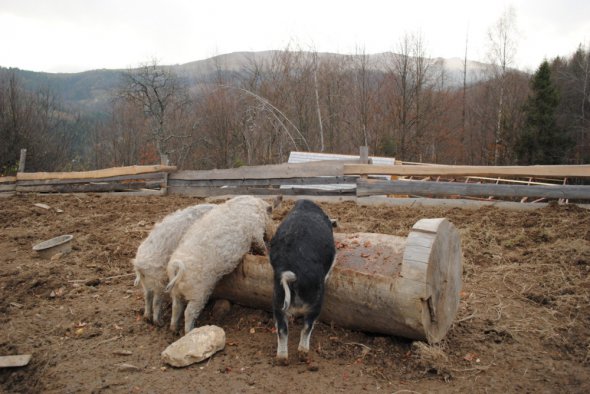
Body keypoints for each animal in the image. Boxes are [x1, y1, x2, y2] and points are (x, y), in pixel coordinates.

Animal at [166, 195, 278, 334]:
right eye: (272, 217)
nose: (274, 233)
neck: (258, 210)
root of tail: (176, 268)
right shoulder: (255, 232)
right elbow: (261, 245)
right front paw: (266, 253)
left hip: (175, 290)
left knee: (176, 306)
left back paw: (174, 329)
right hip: (199, 292)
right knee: (189, 312)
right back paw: (190, 331)